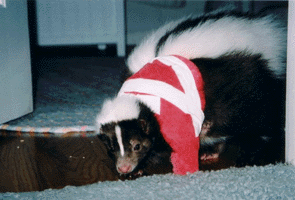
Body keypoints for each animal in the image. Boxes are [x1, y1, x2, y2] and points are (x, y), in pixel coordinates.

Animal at [95, 9, 286, 176]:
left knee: (260, 123)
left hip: (249, 91)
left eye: (137, 145)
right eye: (111, 147)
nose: (123, 168)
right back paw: (212, 151)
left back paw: (252, 154)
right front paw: (140, 168)